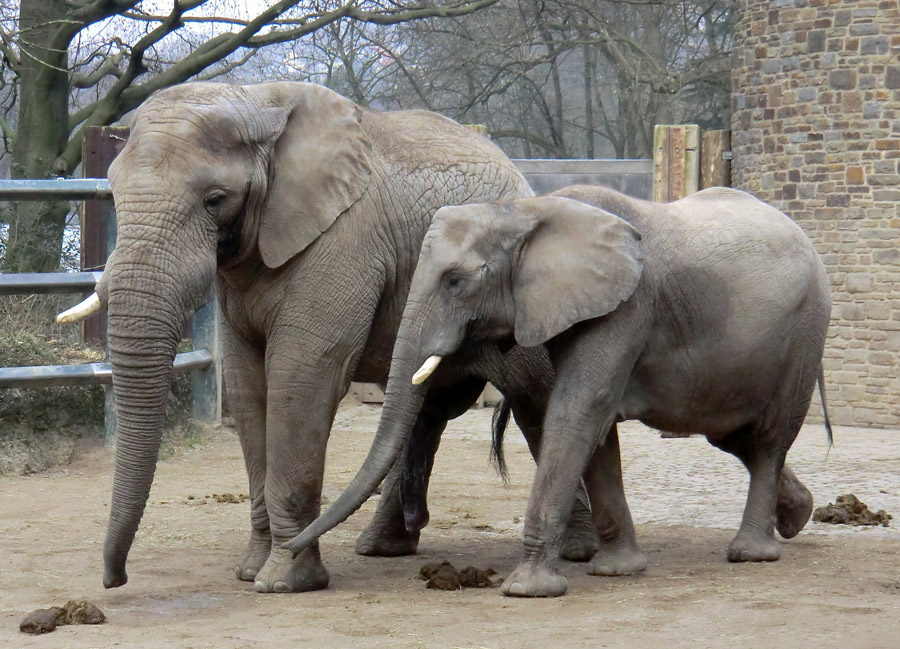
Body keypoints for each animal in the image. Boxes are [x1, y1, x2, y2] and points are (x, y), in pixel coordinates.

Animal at [59, 79, 548, 592]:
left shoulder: (344, 241)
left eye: (215, 198)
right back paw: (381, 548)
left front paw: (282, 582)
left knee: (526, 397)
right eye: (113, 191)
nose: (115, 579)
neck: (257, 103)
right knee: (426, 410)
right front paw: (250, 572)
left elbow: (300, 375)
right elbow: (247, 384)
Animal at [288, 184, 828, 596]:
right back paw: (798, 516)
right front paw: (618, 570)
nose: (290, 547)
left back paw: (751, 554)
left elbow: (578, 410)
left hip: (805, 332)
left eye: (456, 281)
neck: (527, 211)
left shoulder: (627, 309)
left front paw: (526, 588)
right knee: (731, 434)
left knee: (767, 441)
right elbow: (593, 429)